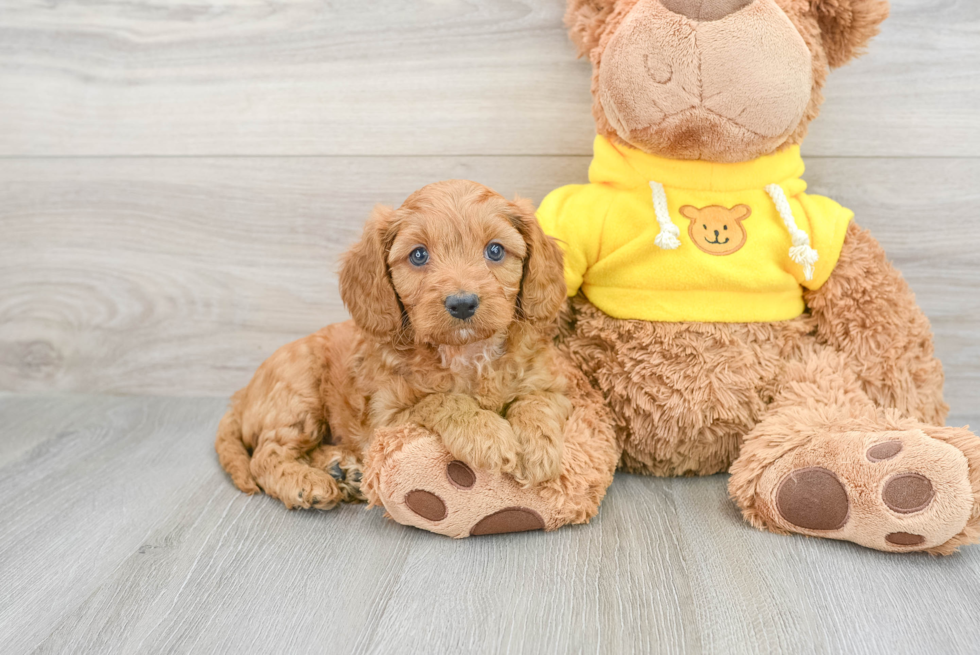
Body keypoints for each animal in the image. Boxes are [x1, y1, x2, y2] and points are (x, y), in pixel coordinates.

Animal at [213, 181, 568, 512]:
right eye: (419, 255)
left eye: (495, 251)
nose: (463, 303)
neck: (466, 354)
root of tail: (242, 396)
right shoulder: (385, 419)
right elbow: (440, 400)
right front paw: (487, 434)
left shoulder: (554, 385)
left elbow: (536, 400)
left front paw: (539, 446)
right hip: (300, 395)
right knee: (265, 455)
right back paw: (307, 482)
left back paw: (343, 469)